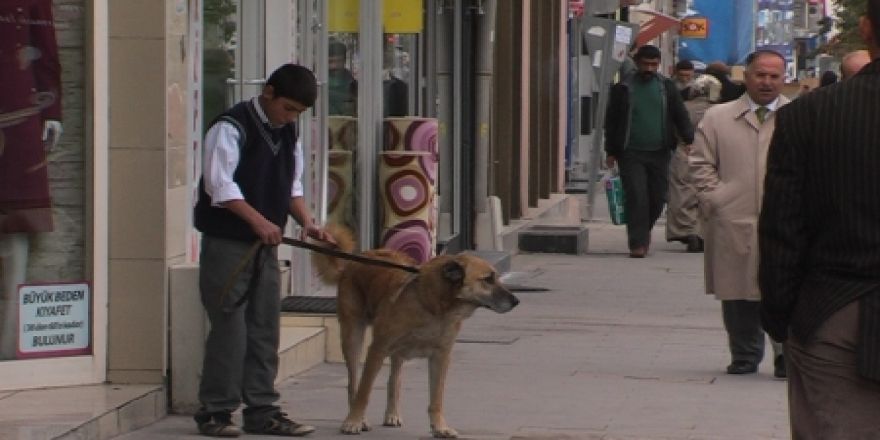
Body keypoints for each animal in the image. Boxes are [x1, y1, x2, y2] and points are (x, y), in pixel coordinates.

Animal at [312, 225, 520, 438]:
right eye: (488, 279)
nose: (516, 301)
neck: (434, 308)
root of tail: (351, 263)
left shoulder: (441, 356)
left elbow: (436, 398)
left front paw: (439, 426)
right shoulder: (377, 350)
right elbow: (365, 391)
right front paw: (353, 421)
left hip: (397, 353)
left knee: (394, 380)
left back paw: (392, 413)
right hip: (353, 336)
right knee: (354, 382)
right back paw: (358, 418)